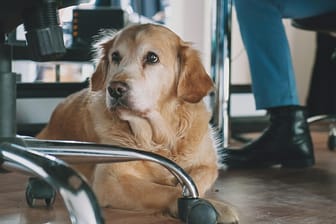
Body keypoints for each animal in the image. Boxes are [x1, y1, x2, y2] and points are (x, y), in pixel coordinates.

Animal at [37, 23, 239, 223]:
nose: (115, 89)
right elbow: (169, 191)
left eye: (152, 58)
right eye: (115, 57)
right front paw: (214, 207)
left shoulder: (208, 165)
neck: (159, 137)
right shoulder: (111, 180)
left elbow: (194, 180)